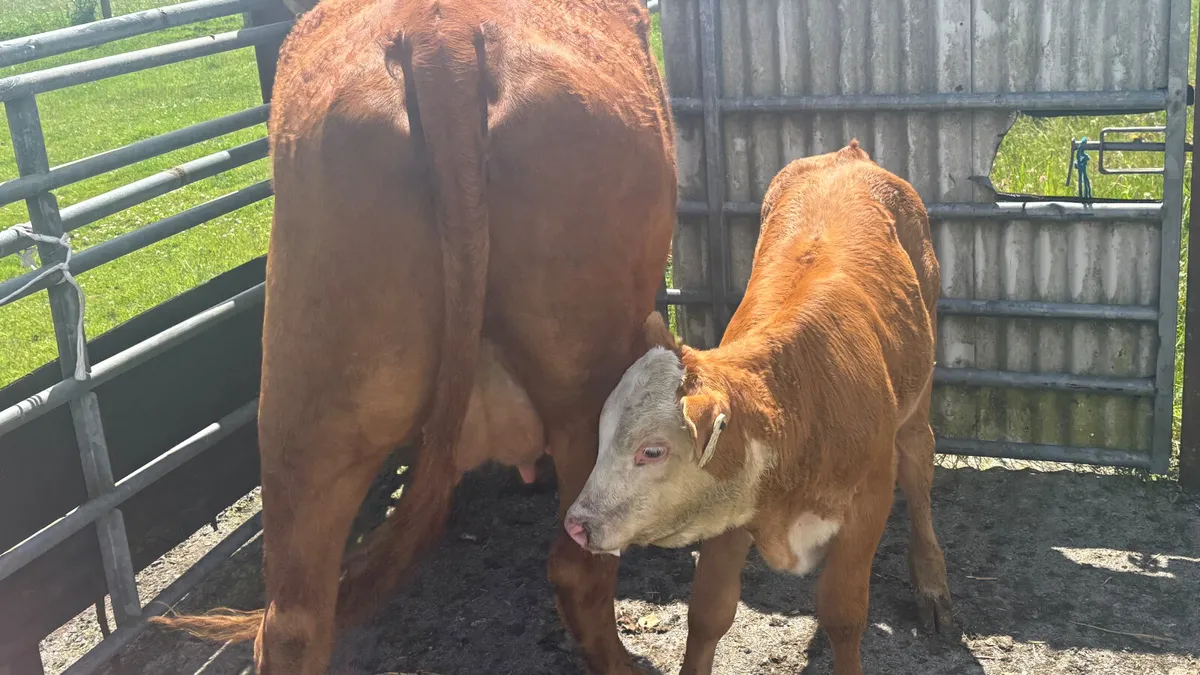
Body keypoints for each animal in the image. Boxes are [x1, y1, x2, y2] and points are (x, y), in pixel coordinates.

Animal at [562, 143, 955, 675]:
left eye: (653, 450)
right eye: (601, 436)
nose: (576, 524)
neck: (803, 400)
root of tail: (849, 156)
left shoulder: (868, 503)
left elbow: (844, 615)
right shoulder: (729, 507)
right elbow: (708, 613)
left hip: (919, 392)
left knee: (918, 465)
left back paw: (931, 581)